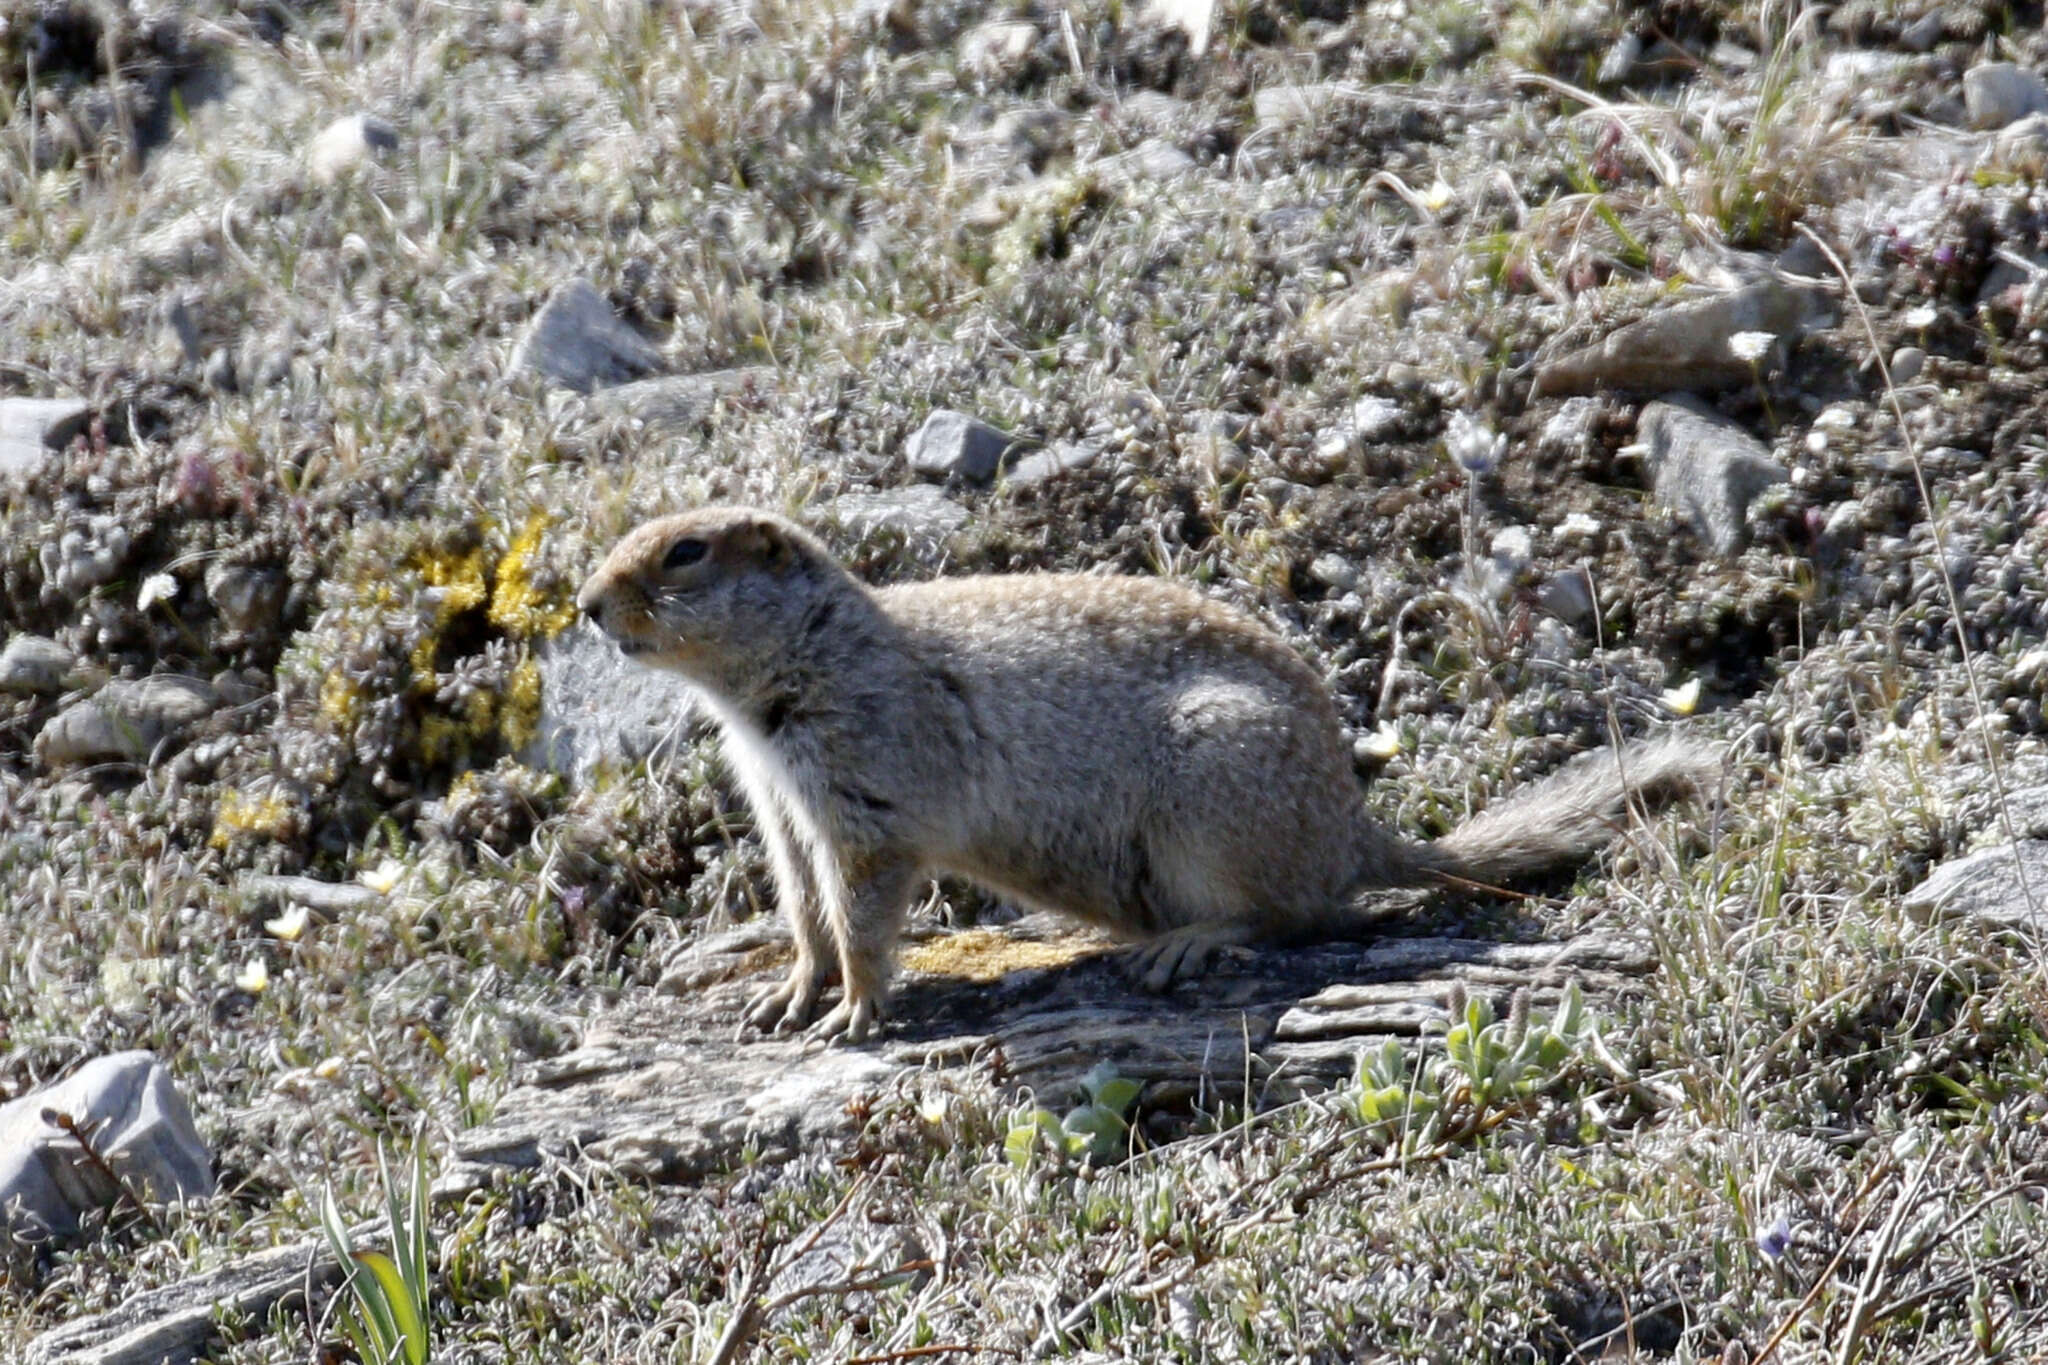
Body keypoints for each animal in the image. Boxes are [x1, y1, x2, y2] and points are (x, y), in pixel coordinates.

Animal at [577, 509, 1712, 1047]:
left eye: (686, 551)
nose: (584, 604)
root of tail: (1357, 830)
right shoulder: (780, 803)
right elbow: (804, 906)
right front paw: (783, 997)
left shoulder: (863, 791)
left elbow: (859, 911)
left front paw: (853, 1011)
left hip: (1214, 805)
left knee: (1295, 917)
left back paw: (1186, 946)